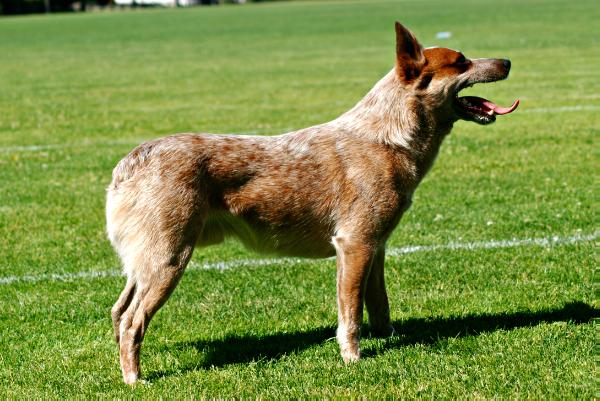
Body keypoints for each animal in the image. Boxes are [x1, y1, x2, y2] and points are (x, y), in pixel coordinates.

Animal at [108, 22, 520, 384]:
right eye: (461, 61)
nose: (507, 60)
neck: (389, 139)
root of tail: (128, 164)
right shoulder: (355, 245)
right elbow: (350, 313)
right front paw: (353, 359)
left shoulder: (377, 246)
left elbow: (379, 305)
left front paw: (387, 339)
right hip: (170, 259)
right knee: (132, 321)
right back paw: (134, 379)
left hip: (147, 263)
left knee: (117, 310)